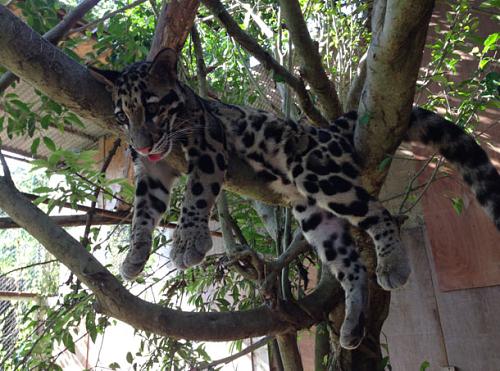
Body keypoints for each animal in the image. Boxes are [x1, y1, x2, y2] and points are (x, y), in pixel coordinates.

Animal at [90, 48, 500, 350]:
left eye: (152, 107)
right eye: (121, 117)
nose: (140, 144)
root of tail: (325, 129)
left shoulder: (209, 144)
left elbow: (195, 196)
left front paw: (188, 243)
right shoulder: (152, 172)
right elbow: (142, 214)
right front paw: (135, 255)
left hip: (315, 172)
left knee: (380, 213)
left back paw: (393, 265)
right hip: (315, 215)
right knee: (352, 266)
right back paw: (353, 325)